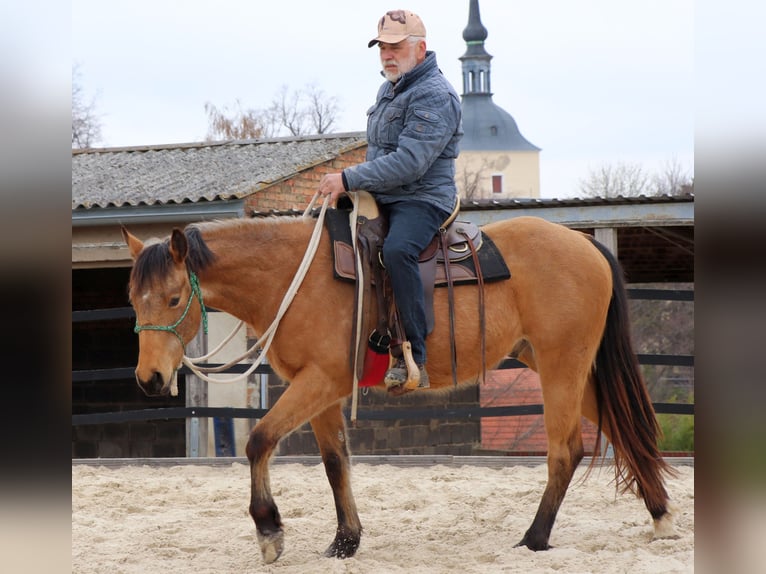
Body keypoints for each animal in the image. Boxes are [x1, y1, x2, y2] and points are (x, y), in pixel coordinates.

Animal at [121, 207, 677, 564]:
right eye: (132, 298)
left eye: (174, 299)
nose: (150, 379)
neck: (292, 278)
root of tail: (584, 243)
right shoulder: (318, 388)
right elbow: (335, 463)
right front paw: (345, 542)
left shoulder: (319, 380)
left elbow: (259, 441)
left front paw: (269, 531)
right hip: (558, 364)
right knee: (625, 431)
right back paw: (661, 517)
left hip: (563, 364)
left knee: (565, 451)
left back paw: (535, 539)